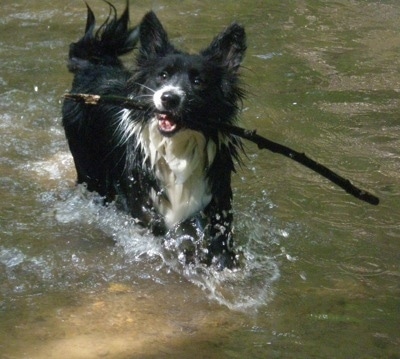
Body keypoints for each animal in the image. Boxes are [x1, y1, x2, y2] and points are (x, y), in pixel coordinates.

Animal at [61, 3, 247, 270]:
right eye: (163, 76)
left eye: (198, 81)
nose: (169, 98)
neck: (178, 147)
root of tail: (93, 65)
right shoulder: (144, 208)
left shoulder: (217, 205)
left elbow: (218, 246)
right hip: (91, 172)